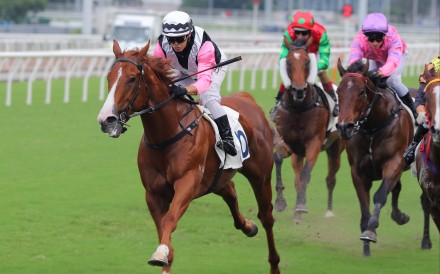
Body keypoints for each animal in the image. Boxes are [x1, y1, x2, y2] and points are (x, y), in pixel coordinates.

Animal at [97, 40, 280, 274]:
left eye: (131, 78)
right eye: (109, 77)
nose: (106, 119)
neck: (166, 135)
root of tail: (248, 99)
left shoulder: (188, 182)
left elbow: (169, 220)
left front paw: (159, 254)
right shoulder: (153, 193)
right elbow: (164, 232)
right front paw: (164, 255)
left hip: (261, 175)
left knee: (267, 217)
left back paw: (274, 263)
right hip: (216, 178)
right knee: (230, 192)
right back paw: (247, 226)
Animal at [274, 39, 346, 220]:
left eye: (307, 61)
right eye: (288, 62)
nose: (299, 90)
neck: (298, 108)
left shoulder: (314, 142)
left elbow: (306, 174)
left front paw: (301, 205)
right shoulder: (289, 143)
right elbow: (278, 159)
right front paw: (280, 202)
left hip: (335, 149)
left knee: (330, 179)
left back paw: (328, 211)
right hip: (298, 154)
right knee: (297, 177)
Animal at [336, 58, 414, 256]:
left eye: (362, 92)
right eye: (338, 91)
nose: (344, 126)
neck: (373, 127)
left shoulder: (394, 162)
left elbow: (380, 195)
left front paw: (370, 231)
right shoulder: (358, 170)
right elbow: (364, 204)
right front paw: (366, 249)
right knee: (397, 188)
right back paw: (399, 216)